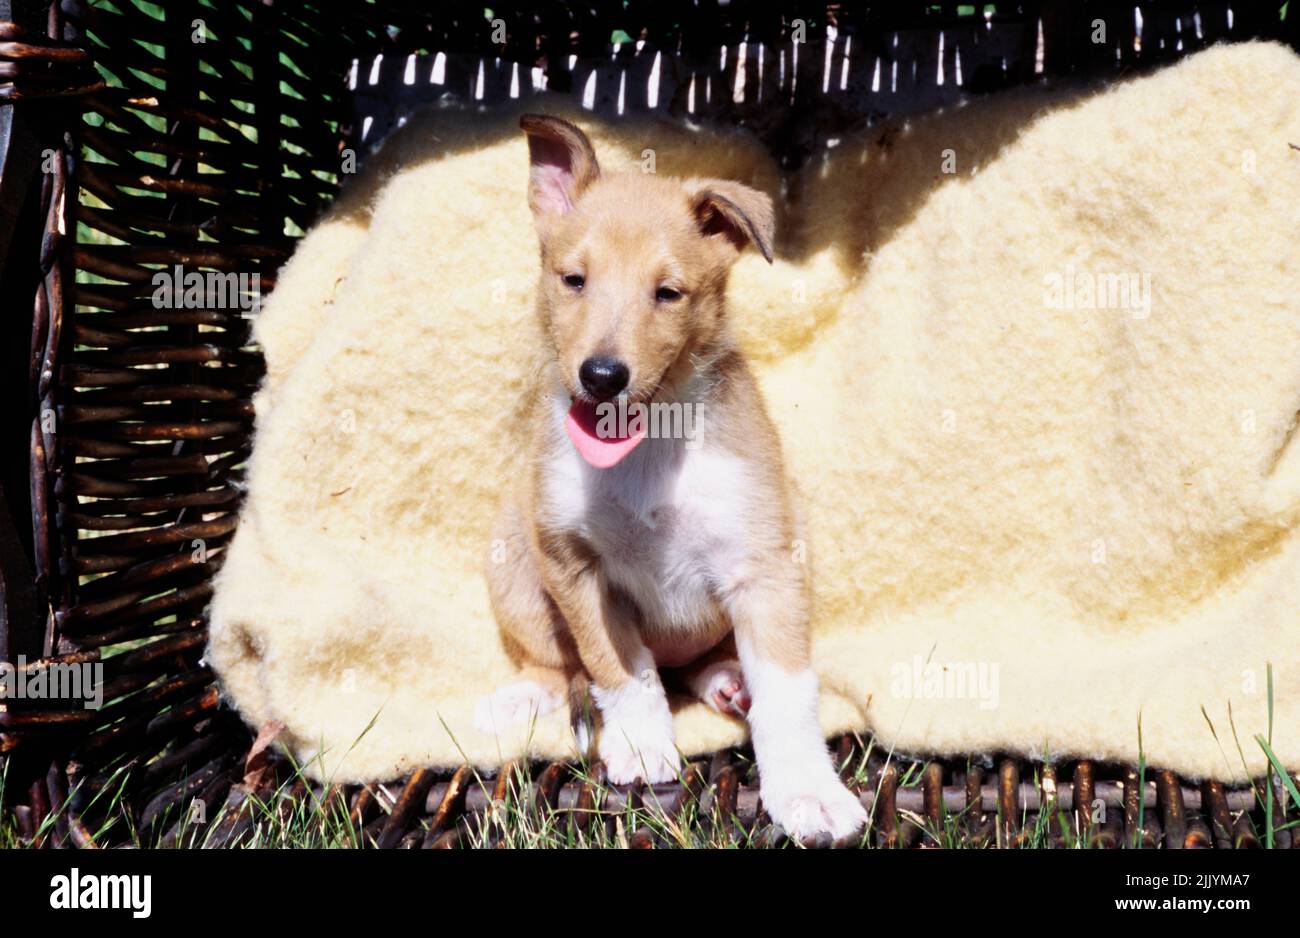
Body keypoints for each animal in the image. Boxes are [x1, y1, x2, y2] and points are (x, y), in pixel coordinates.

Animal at [475, 113, 863, 836]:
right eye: (574, 280)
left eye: (668, 293)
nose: (602, 376)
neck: (649, 449)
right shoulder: (575, 567)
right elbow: (617, 669)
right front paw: (639, 745)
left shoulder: (765, 566)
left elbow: (788, 692)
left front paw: (807, 793)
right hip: (514, 555)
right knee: (554, 664)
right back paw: (516, 700)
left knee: (696, 667)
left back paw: (728, 681)